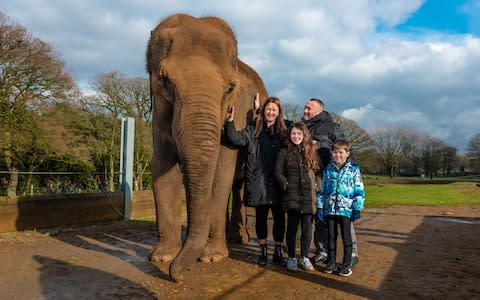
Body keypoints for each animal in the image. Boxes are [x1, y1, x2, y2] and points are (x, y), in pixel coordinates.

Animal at [144, 13, 268, 282]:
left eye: (231, 88)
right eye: (164, 81)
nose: (178, 276)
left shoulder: (237, 113)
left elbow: (221, 172)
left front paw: (212, 257)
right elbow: (161, 168)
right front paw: (161, 257)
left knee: (238, 184)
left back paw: (239, 239)